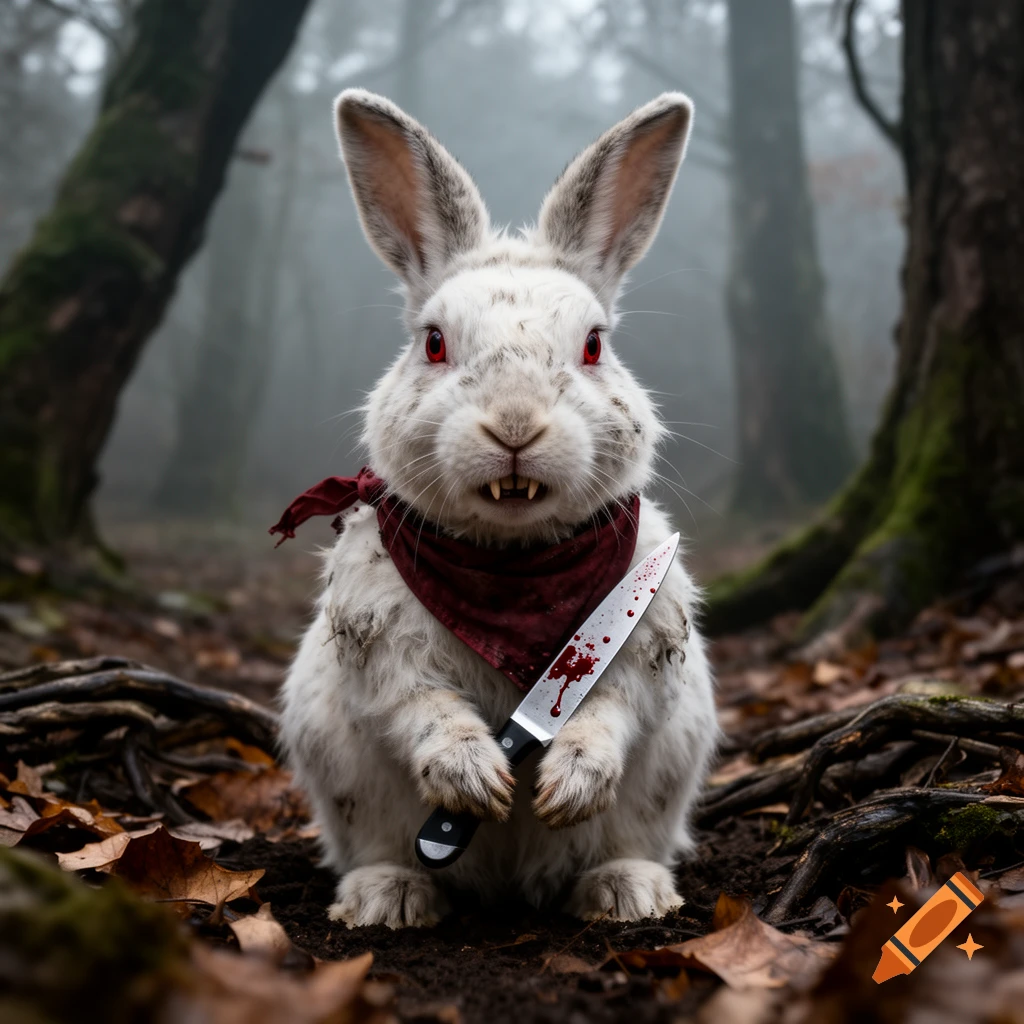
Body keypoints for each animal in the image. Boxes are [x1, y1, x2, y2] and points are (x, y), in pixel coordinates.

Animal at [279, 88, 719, 929]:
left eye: (593, 346)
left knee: (629, 841)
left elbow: (612, 710)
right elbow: (420, 708)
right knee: (378, 847)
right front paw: (478, 781)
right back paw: (389, 897)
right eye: (434, 344)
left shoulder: (641, 648)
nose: (515, 426)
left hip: (667, 777)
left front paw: (567, 783)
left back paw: (627, 892)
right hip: (339, 771)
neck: (513, 567)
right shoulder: (383, 652)